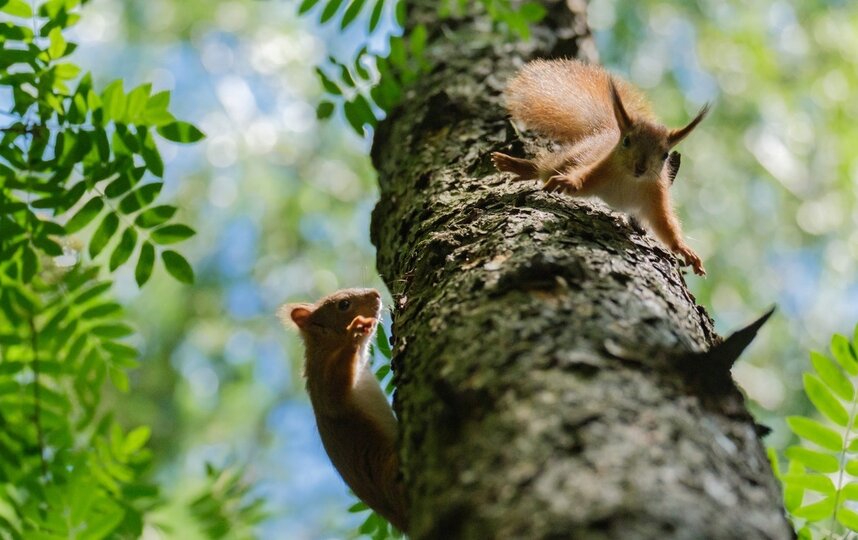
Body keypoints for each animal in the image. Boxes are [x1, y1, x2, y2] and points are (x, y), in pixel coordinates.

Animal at [278, 288, 404, 532]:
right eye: (344, 304)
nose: (376, 293)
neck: (326, 345)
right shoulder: (324, 385)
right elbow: (336, 386)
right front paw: (355, 331)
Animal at [492, 60, 704, 274]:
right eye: (626, 141)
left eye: (665, 155)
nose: (640, 167)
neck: (630, 181)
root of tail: (604, 132)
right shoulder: (599, 171)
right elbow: (581, 182)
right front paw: (568, 181)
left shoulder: (656, 197)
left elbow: (664, 225)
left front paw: (685, 250)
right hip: (572, 156)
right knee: (546, 167)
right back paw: (518, 166)